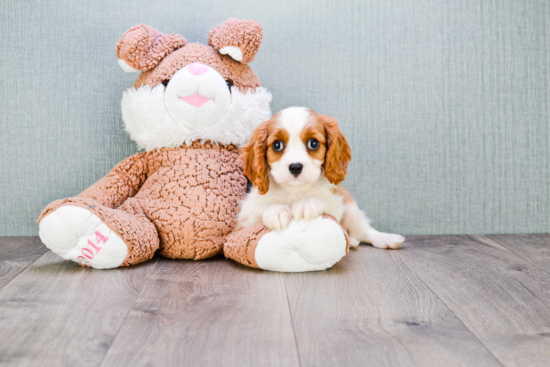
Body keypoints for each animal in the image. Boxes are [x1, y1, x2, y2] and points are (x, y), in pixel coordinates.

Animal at [237, 106, 406, 250]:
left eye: (313, 143)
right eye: (277, 145)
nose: (295, 166)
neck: (294, 191)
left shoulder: (335, 204)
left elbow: (323, 199)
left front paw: (307, 203)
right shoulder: (243, 222)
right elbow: (261, 207)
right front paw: (276, 211)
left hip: (351, 209)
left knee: (364, 231)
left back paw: (385, 239)